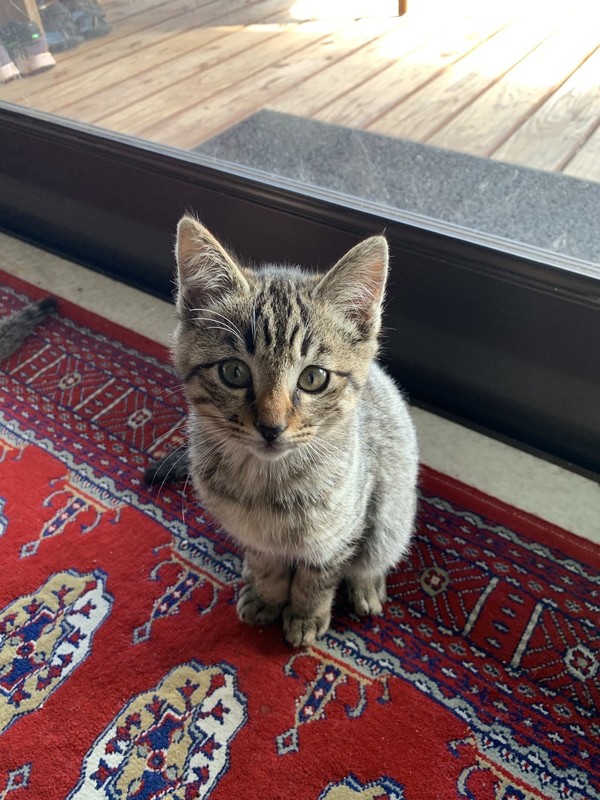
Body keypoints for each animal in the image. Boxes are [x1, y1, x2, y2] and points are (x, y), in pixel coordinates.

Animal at [149, 215, 419, 647]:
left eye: (313, 378)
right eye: (234, 371)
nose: (271, 427)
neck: (266, 484)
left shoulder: (339, 533)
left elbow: (318, 578)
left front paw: (306, 615)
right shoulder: (257, 537)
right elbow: (267, 564)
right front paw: (267, 596)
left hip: (392, 511)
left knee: (379, 550)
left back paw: (367, 585)